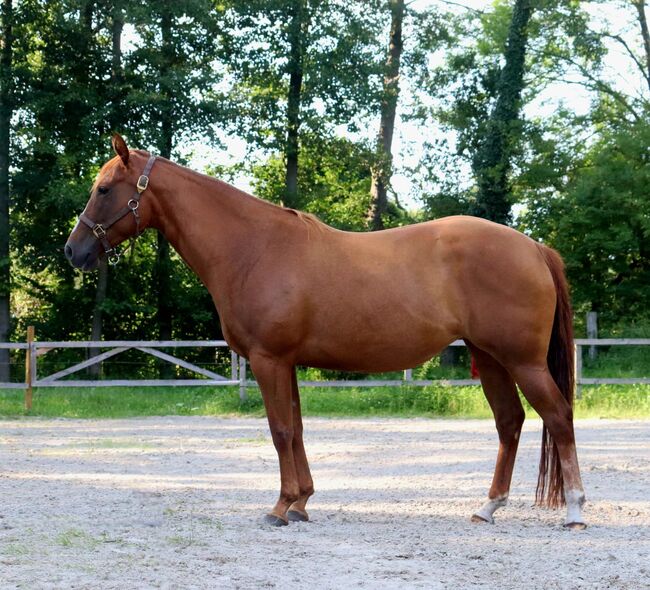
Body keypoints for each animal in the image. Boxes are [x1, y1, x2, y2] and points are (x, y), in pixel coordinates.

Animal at [63, 135, 584, 532]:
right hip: (491, 358)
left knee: (558, 417)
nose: (73, 251)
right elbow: (296, 429)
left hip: (522, 361)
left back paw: (575, 510)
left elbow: (279, 431)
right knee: (510, 423)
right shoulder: (286, 362)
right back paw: (487, 507)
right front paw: (301, 503)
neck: (253, 248)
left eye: (104, 189)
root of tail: (533, 247)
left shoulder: (268, 360)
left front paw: (280, 508)